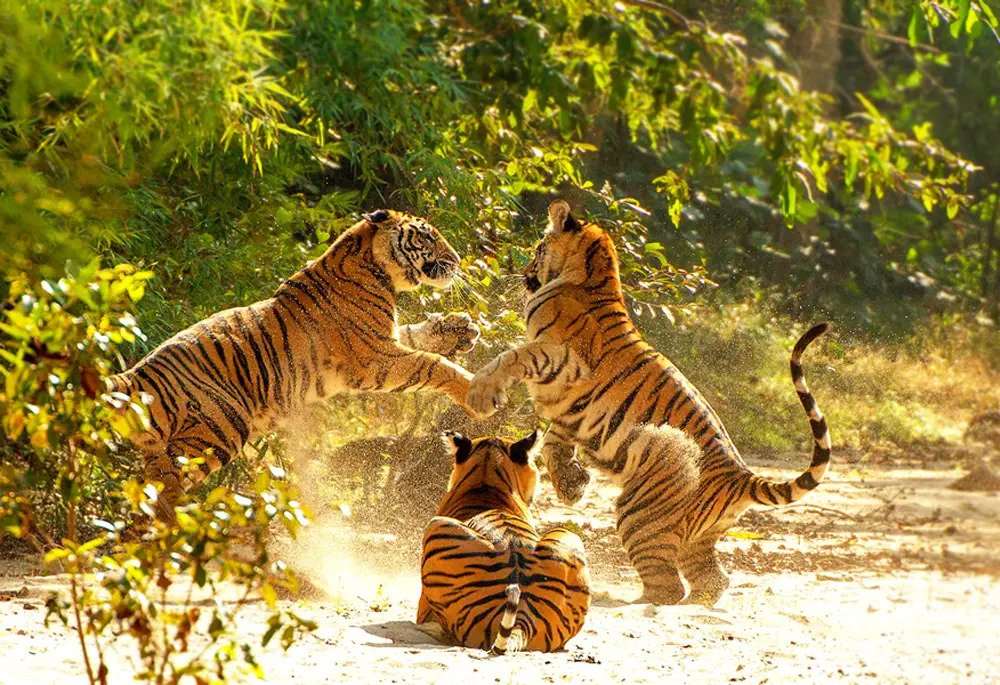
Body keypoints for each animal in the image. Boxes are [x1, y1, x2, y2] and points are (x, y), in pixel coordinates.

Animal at [109, 210, 485, 518]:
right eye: (427, 237)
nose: (456, 260)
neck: (376, 268)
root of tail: (136, 374)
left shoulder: (385, 341)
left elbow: (418, 336)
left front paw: (458, 329)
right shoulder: (374, 357)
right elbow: (431, 364)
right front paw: (475, 392)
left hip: (166, 448)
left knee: (145, 489)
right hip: (216, 431)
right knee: (163, 489)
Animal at [466, 199, 833, 605]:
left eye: (538, 249)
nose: (525, 273)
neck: (598, 276)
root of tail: (740, 476)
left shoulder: (560, 358)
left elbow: (511, 357)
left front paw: (480, 394)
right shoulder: (568, 405)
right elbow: (553, 442)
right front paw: (572, 485)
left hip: (640, 513)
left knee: (667, 587)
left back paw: (619, 598)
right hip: (697, 537)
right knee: (712, 580)